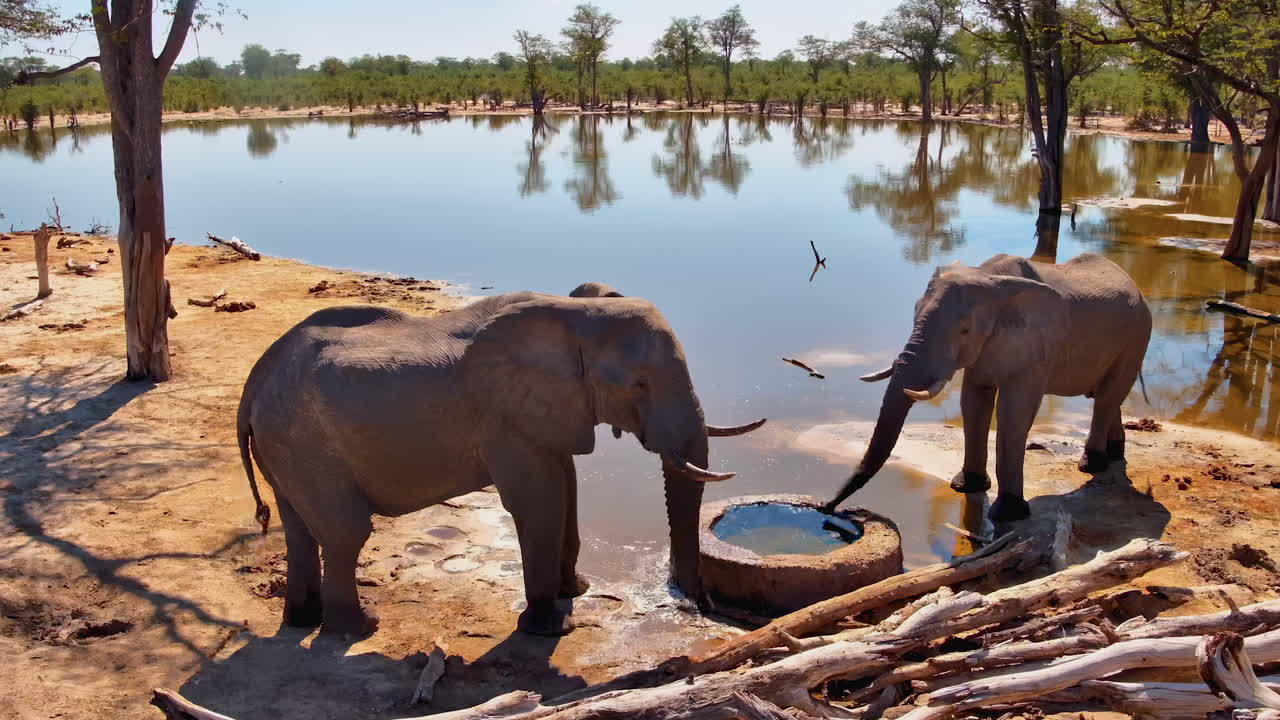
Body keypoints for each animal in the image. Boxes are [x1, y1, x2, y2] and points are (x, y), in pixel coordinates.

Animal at [236, 283, 765, 637]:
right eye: (637, 384)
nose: (697, 603)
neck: (573, 315)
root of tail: (255, 381)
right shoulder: (508, 420)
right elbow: (541, 502)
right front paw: (549, 627)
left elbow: (567, 488)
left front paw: (576, 592)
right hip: (306, 444)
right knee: (345, 533)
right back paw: (360, 627)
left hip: (287, 446)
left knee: (299, 528)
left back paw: (302, 620)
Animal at [825, 253, 1151, 524]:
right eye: (914, 313)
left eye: (964, 330)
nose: (828, 508)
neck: (990, 277)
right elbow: (973, 401)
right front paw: (966, 486)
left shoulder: (1037, 348)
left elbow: (1014, 411)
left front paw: (1008, 514)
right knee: (1108, 396)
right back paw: (1114, 453)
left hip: (1137, 335)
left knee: (1108, 395)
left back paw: (1093, 465)